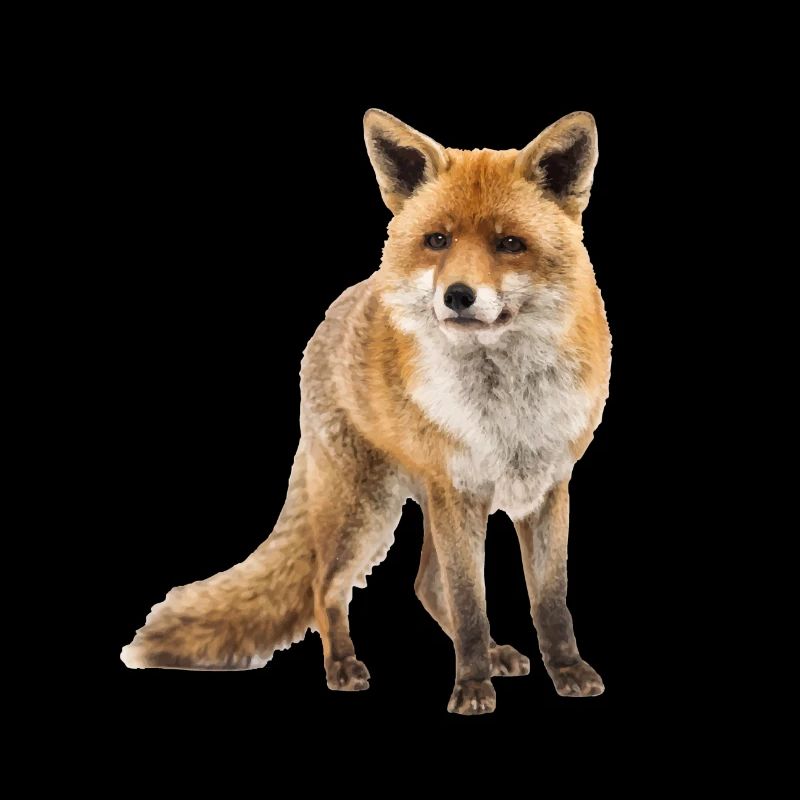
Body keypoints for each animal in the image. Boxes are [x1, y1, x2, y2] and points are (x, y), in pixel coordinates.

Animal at [121, 109, 611, 714]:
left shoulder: (546, 488)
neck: (506, 410)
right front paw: (471, 687)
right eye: (438, 240)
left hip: (421, 503)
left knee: (424, 585)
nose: (457, 295)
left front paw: (566, 671)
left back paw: (496, 654)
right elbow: (470, 602)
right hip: (368, 511)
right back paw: (344, 665)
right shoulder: (459, 494)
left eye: (509, 244)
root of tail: (341, 305)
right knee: (324, 588)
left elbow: (550, 601)